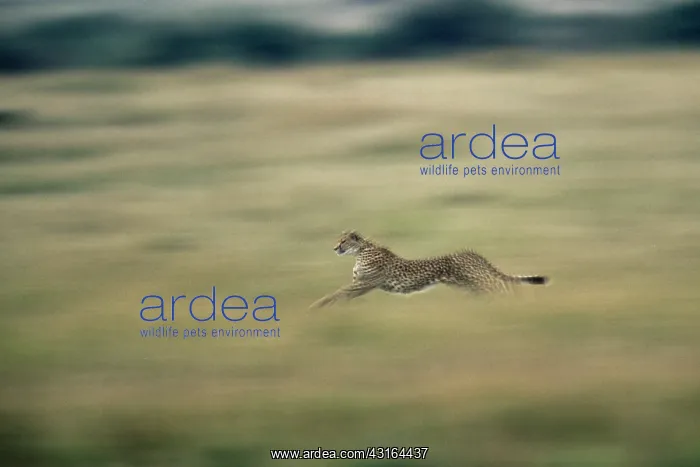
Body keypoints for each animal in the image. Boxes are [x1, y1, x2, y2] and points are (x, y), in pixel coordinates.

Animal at [309, 230, 549, 308]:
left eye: (343, 241)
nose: (334, 248)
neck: (362, 249)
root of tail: (470, 252)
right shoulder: (360, 285)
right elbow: (340, 295)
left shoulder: (364, 283)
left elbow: (335, 293)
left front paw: (315, 307)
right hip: (469, 287)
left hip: (478, 282)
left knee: (503, 288)